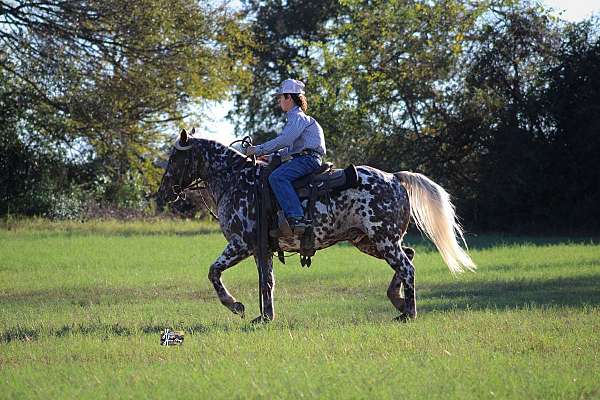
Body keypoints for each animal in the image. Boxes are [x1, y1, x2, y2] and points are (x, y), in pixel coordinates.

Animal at [157, 130, 476, 324]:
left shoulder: (241, 243)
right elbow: (266, 282)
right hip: (369, 241)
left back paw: (409, 312)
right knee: (408, 256)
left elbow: (214, 272)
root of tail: (395, 178)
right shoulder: (262, 250)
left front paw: (236, 305)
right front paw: (265, 317)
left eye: (175, 157)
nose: (163, 192)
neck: (236, 180)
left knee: (407, 267)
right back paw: (397, 302)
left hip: (383, 240)